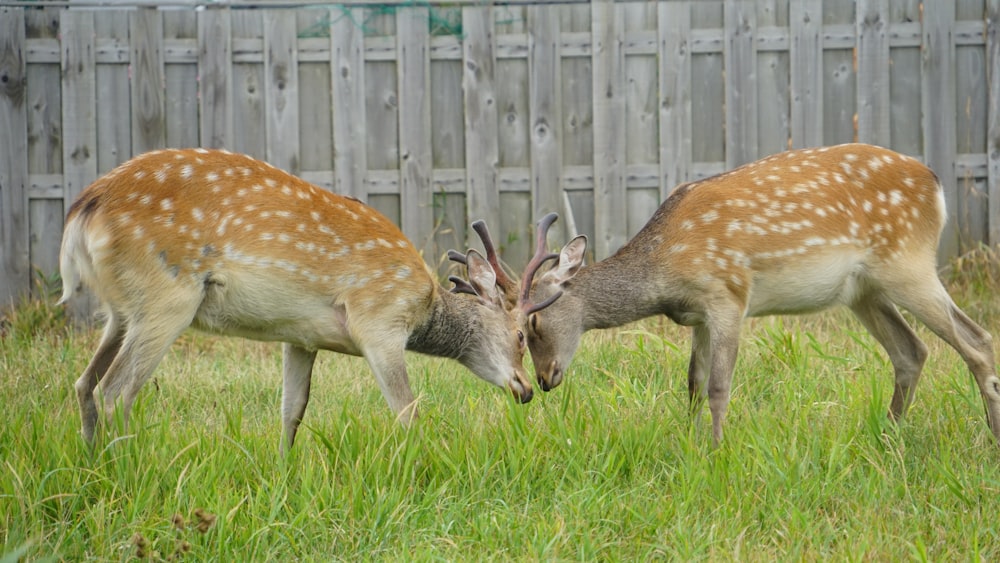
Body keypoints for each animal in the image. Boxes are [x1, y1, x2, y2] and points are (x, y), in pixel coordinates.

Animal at [58, 147, 536, 454]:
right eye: (521, 336)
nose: (527, 388)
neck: (423, 307)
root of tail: (83, 212)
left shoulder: (300, 338)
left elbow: (292, 411)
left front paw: (283, 469)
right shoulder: (378, 320)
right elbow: (407, 411)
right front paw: (426, 465)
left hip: (121, 310)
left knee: (84, 383)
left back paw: (94, 463)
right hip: (166, 296)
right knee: (116, 389)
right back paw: (128, 465)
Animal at [468, 143, 1000, 448]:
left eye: (534, 322)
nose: (544, 379)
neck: (667, 269)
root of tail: (936, 186)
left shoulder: (727, 295)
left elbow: (720, 386)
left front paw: (718, 450)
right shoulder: (699, 316)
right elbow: (692, 382)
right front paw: (686, 442)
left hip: (907, 261)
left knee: (976, 340)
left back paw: (990, 436)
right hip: (863, 290)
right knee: (912, 351)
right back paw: (887, 436)